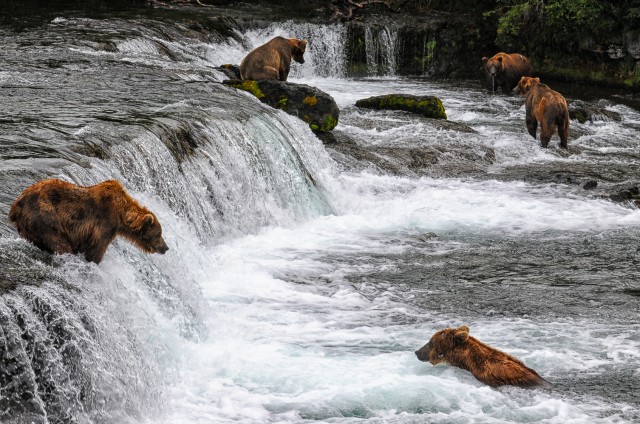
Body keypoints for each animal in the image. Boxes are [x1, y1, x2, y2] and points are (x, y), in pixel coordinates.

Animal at [9, 178, 169, 264]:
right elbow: (96, 248)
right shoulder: (105, 222)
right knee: (58, 242)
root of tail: (17, 204)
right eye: (159, 233)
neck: (121, 216)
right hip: (45, 217)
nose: (166, 247)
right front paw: (94, 261)